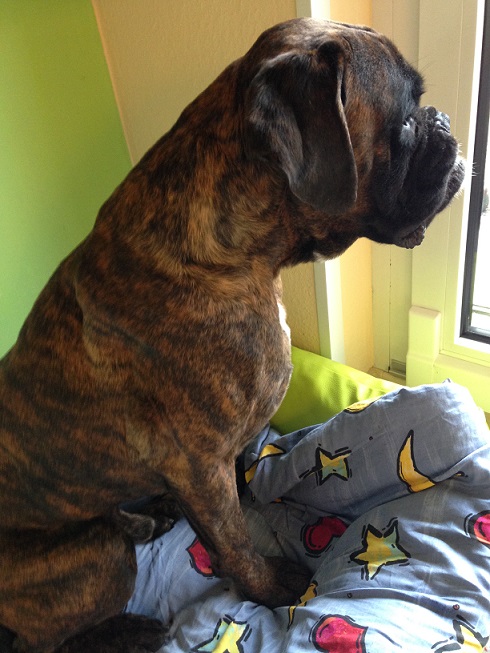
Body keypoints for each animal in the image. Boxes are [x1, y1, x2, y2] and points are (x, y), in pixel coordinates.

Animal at [0, 17, 465, 653]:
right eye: (408, 121)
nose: (444, 121)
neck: (236, 260)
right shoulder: (198, 465)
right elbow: (235, 541)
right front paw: (271, 588)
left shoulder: (213, 466)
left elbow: (238, 490)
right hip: (93, 557)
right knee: (46, 637)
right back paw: (132, 629)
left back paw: (146, 517)